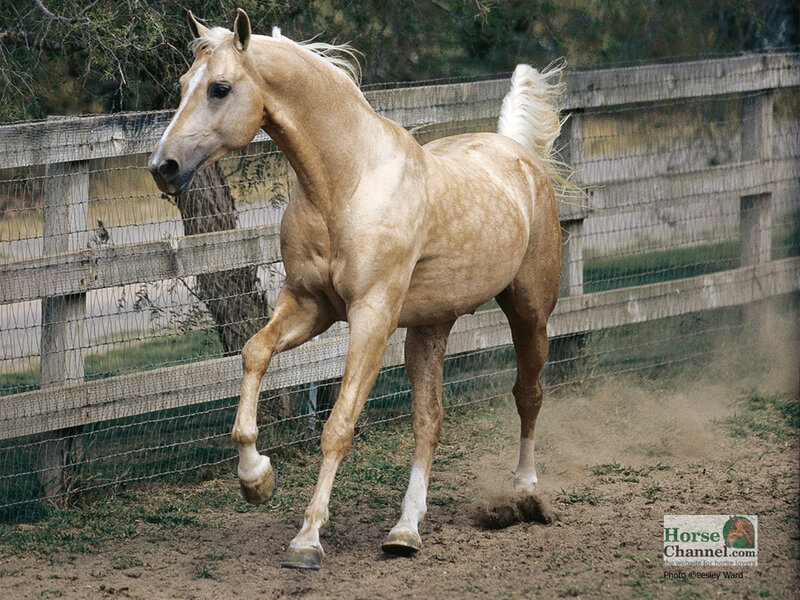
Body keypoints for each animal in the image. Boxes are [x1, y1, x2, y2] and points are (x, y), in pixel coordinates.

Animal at [149, 8, 564, 570]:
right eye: (181, 83)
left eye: (219, 88)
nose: (162, 168)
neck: (345, 185)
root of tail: (519, 154)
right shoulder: (308, 306)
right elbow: (254, 353)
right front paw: (256, 479)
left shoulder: (372, 316)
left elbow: (339, 426)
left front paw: (307, 539)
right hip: (431, 327)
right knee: (428, 420)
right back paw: (405, 531)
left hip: (529, 312)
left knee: (528, 394)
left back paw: (523, 491)